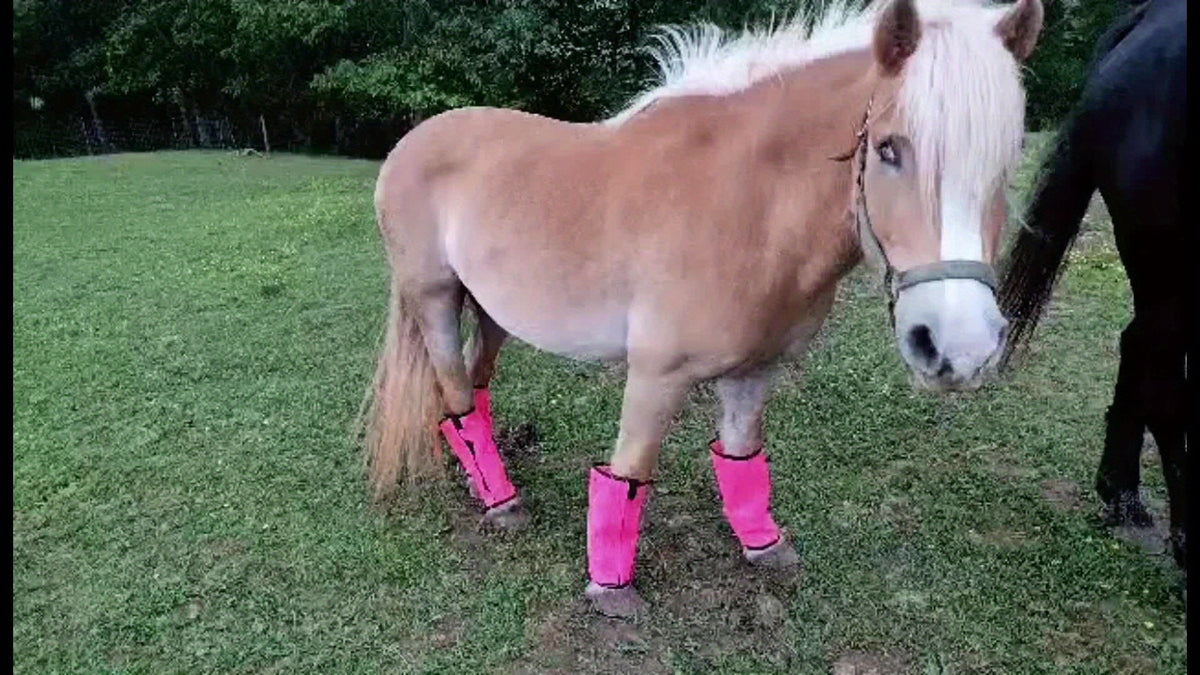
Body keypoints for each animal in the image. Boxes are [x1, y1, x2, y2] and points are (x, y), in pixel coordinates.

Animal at [365, 0, 1044, 617]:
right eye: (888, 149)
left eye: (1007, 160)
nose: (960, 347)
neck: (747, 204)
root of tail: (415, 138)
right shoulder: (656, 375)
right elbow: (628, 474)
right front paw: (611, 590)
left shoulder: (756, 371)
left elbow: (742, 457)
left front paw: (764, 546)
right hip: (434, 299)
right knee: (455, 396)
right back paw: (500, 501)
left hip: (493, 311)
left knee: (471, 392)